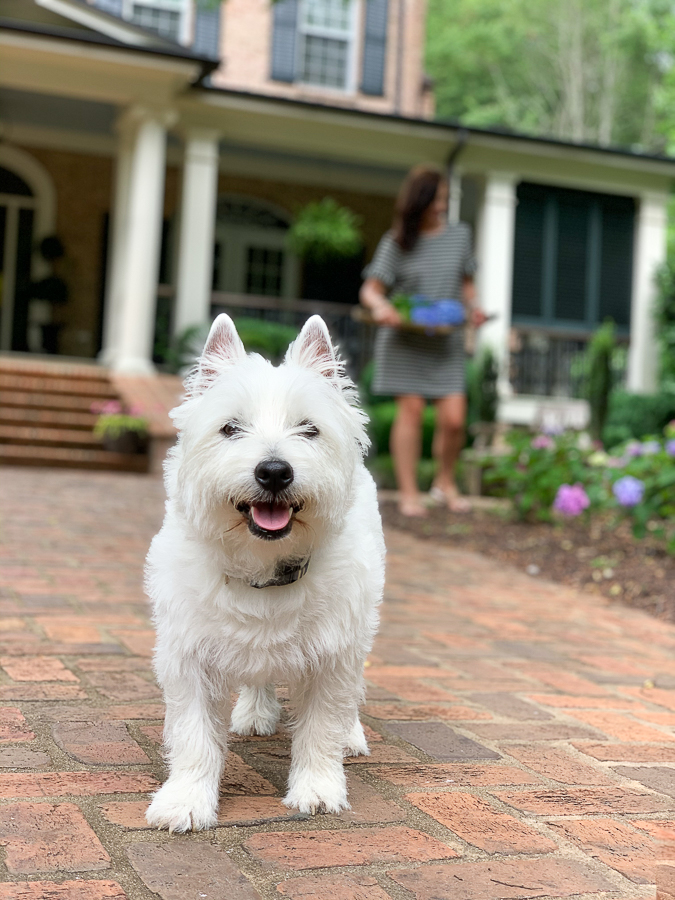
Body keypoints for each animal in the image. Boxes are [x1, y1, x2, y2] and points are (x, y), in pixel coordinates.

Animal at [144, 312, 386, 832]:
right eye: (230, 428)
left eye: (309, 429)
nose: (274, 471)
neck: (263, 565)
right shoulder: (188, 656)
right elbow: (194, 735)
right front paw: (184, 801)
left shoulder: (333, 653)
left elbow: (322, 726)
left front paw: (318, 789)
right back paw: (254, 712)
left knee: (352, 689)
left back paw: (351, 735)